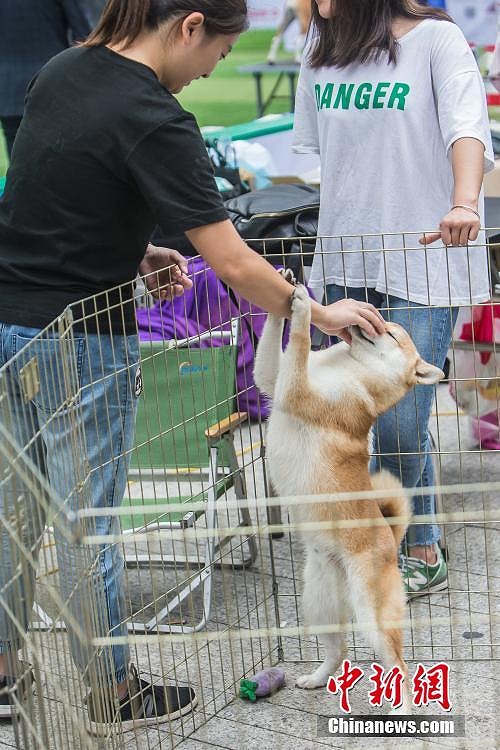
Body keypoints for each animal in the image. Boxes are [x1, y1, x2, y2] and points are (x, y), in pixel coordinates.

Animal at [254, 280, 442, 712]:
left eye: (392, 333)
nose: (369, 313)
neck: (350, 369)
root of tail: (391, 538)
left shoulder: (295, 390)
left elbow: (299, 344)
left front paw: (304, 308)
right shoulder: (273, 380)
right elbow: (274, 350)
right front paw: (284, 285)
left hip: (371, 613)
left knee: (397, 663)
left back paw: (401, 709)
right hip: (318, 602)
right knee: (338, 650)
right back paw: (318, 678)